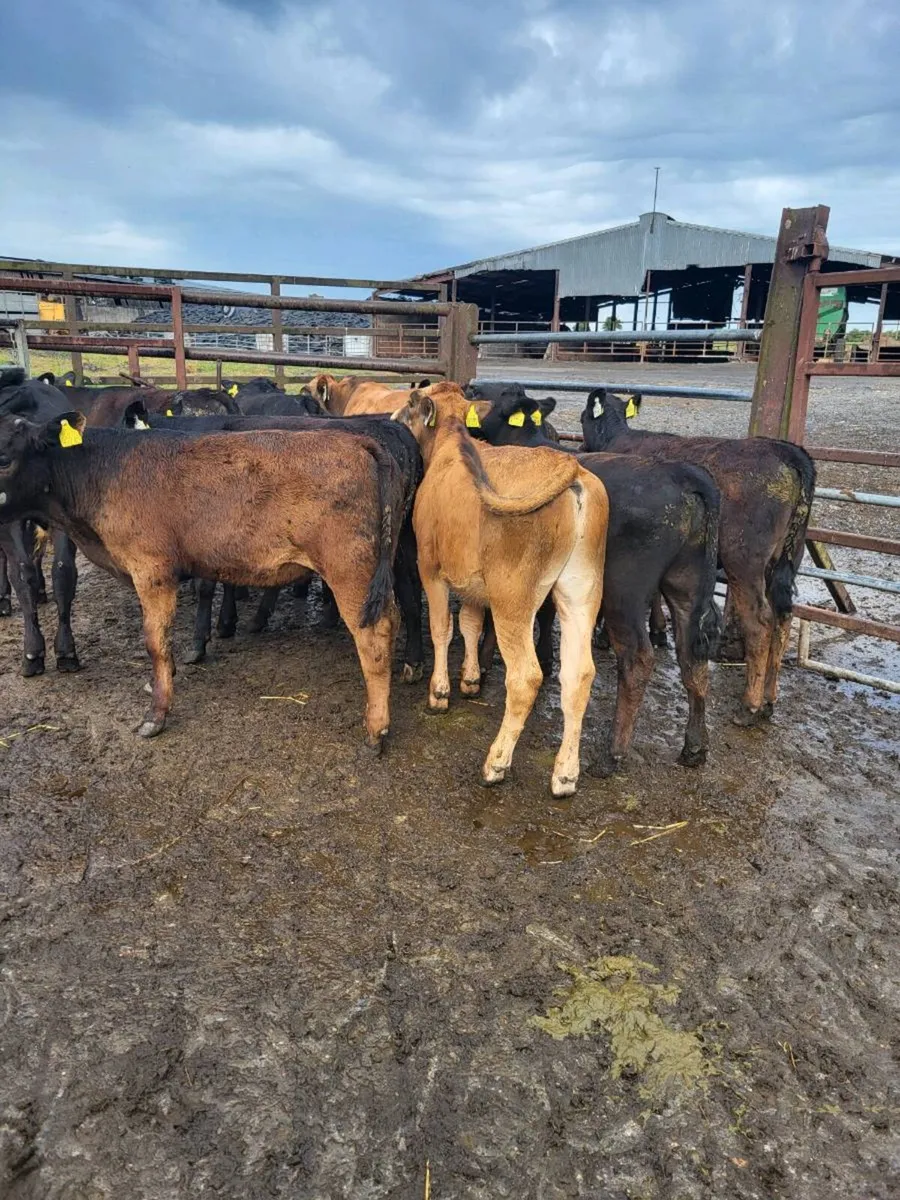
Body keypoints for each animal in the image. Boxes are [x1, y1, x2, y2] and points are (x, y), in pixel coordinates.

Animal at [0, 412, 404, 751]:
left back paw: (376, 728)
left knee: (374, 635)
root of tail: (357, 441)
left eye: (5, 459)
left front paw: (156, 714)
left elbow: (155, 642)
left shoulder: (152, 569)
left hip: (350, 570)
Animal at [391, 382, 609, 796]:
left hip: (514, 600)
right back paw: (565, 775)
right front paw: (471, 679)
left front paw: (440, 691)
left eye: (410, 403)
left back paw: (496, 764)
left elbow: (442, 628)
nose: (392, 417)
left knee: (525, 678)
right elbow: (470, 625)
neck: (449, 443)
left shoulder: (431, 568)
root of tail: (572, 470)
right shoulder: (475, 583)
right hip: (581, 591)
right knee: (579, 675)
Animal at [462, 384, 721, 771]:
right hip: (687, 583)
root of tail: (685, 475)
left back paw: (613, 752)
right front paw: (544, 659)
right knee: (693, 656)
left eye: (483, 392)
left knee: (638, 658)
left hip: (624, 590)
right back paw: (694, 747)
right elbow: (544, 614)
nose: (468, 387)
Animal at [580, 389, 816, 725]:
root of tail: (784, 450)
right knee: (784, 616)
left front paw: (605, 636)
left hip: (744, 560)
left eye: (583, 418)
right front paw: (659, 630)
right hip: (789, 555)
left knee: (760, 622)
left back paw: (750, 705)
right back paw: (770, 698)